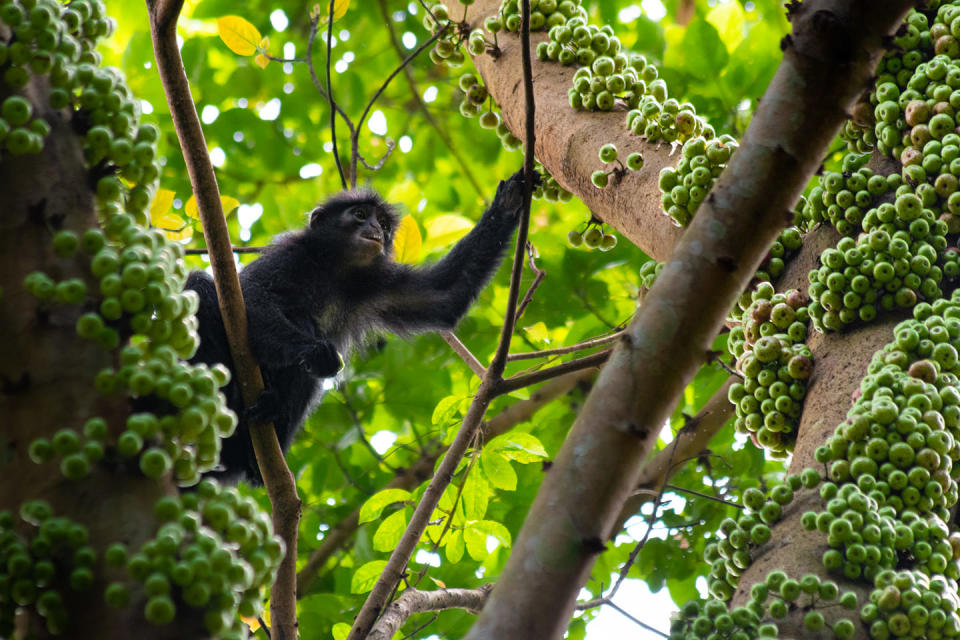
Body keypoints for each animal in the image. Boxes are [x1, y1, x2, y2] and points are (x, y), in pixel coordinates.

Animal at [187, 168, 532, 482]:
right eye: (360, 214)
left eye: (383, 223)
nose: (375, 228)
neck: (333, 268)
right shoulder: (290, 256)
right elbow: (251, 297)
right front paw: (315, 352)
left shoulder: (374, 281)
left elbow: (444, 295)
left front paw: (510, 200)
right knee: (201, 286)